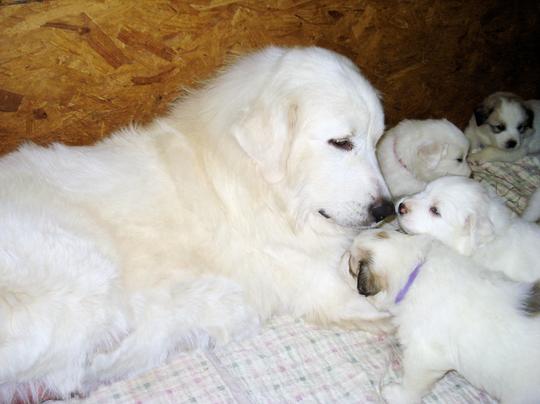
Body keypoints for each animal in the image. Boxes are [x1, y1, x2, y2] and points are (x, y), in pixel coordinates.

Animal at [0, 45, 392, 400]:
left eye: (376, 142)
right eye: (341, 142)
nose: (386, 209)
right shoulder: (316, 284)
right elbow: (378, 311)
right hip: (89, 279)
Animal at [344, 229, 540, 404]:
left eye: (350, 266)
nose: (342, 255)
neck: (414, 270)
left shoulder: (424, 355)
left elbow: (413, 381)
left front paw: (397, 394)